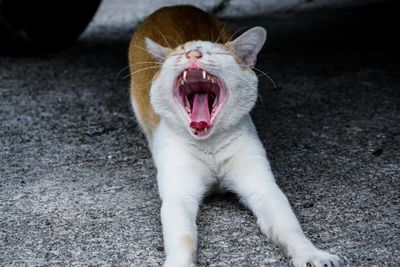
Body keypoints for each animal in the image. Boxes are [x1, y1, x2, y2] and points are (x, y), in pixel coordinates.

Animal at [130, 4, 342, 267]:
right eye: (179, 54)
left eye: (213, 52)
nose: (193, 55)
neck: (209, 143)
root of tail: (173, 6)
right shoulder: (178, 195)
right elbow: (182, 238)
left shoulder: (262, 187)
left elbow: (288, 226)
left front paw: (310, 253)